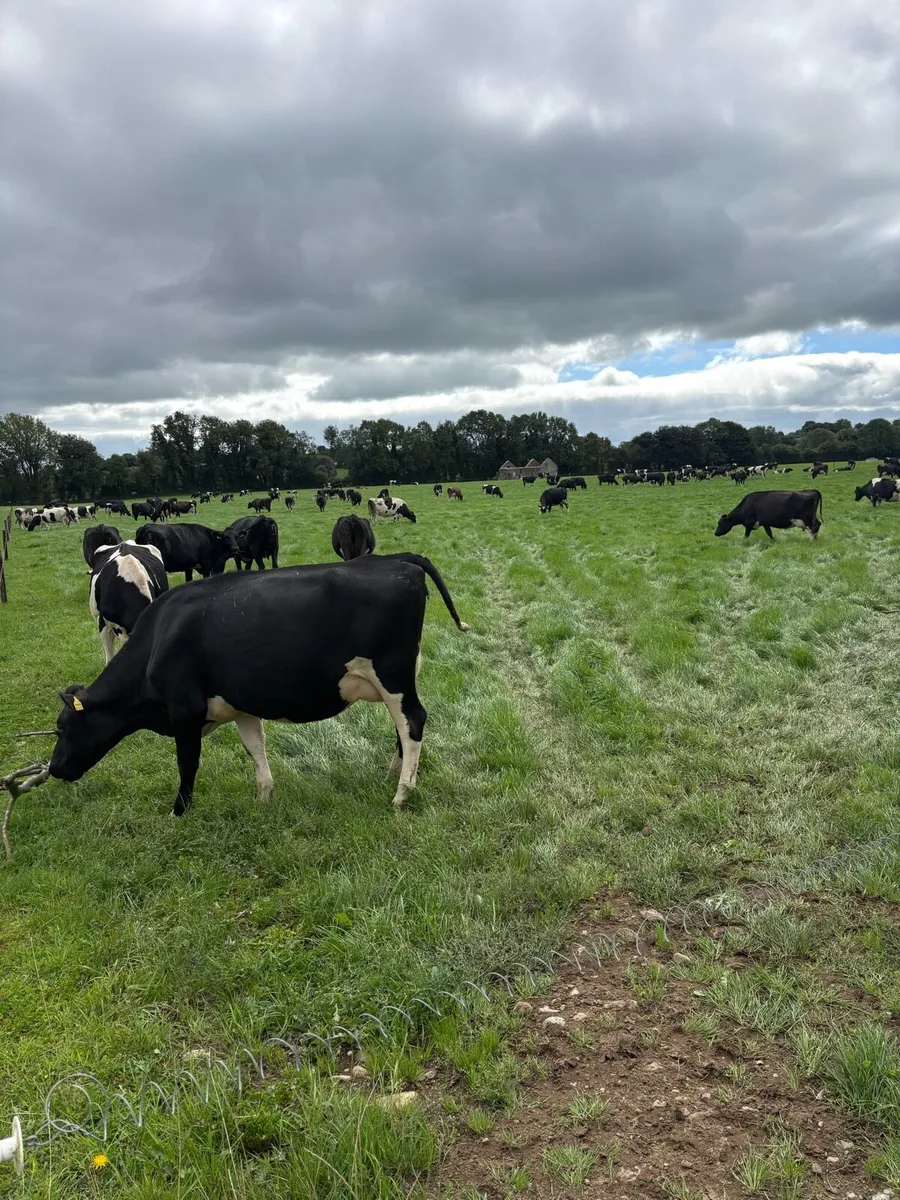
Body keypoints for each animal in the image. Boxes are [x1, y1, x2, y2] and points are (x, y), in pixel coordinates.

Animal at [49, 554, 469, 813]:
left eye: (62, 728)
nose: (53, 769)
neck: (159, 637)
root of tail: (396, 560)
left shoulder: (184, 711)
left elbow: (188, 763)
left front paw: (179, 811)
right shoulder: (240, 705)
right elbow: (255, 749)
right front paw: (263, 799)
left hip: (392, 674)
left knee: (413, 722)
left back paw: (402, 794)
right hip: (398, 678)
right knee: (404, 726)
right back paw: (393, 775)